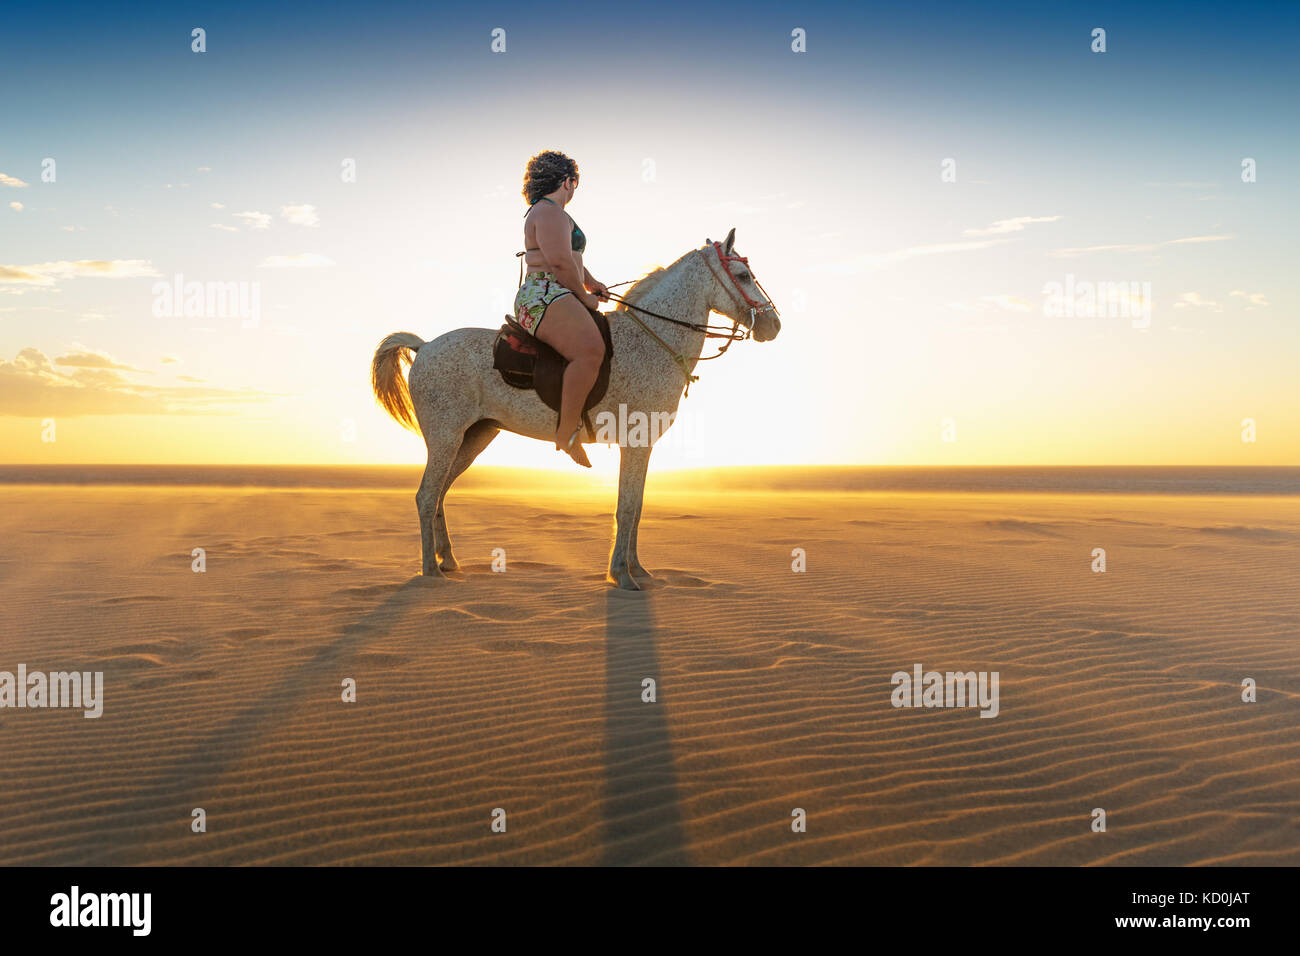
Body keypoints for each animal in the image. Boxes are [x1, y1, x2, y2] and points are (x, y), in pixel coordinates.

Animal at [374, 231, 780, 590]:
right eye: (743, 275)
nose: (773, 325)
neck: (651, 341)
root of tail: (425, 346)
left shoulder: (644, 446)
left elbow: (638, 507)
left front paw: (638, 569)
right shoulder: (635, 444)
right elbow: (626, 508)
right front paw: (622, 575)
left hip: (475, 437)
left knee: (440, 494)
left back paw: (448, 560)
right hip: (446, 438)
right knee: (426, 496)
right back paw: (431, 571)